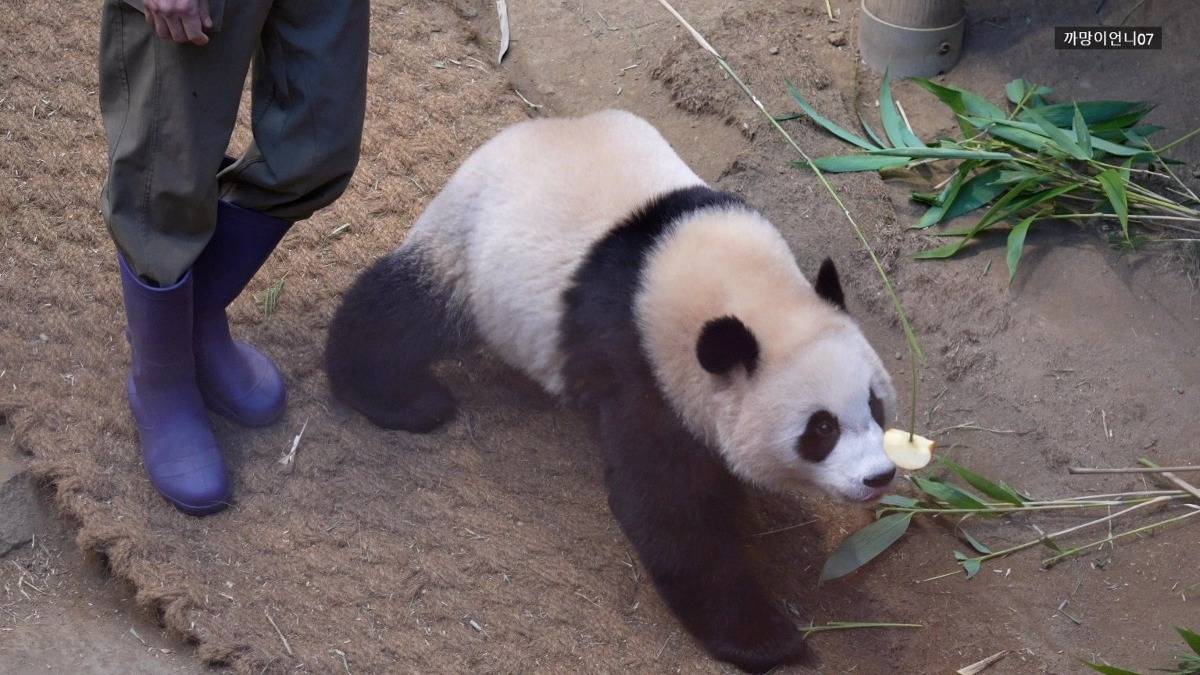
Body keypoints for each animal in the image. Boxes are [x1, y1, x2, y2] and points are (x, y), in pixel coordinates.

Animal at [324, 109, 897, 667]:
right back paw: (404, 399)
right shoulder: (641, 359)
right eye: (820, 429)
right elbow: (668, 506)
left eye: (875, 405)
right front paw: (765, 638)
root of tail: (500, 140)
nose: (880, 476)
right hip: (468, 251)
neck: (743, 288)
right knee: (403, 308)